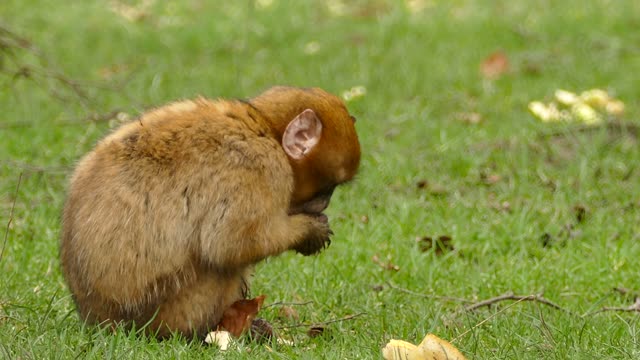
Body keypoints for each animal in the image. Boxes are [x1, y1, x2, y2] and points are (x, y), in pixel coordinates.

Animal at [60, 86, 360, 338]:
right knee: (219, 265)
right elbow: (231, 244)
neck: (263, 127)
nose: (325, 203)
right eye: (329, 188)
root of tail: (98, 319)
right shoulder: (259, 167)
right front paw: (310, 231)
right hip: (171, 311)